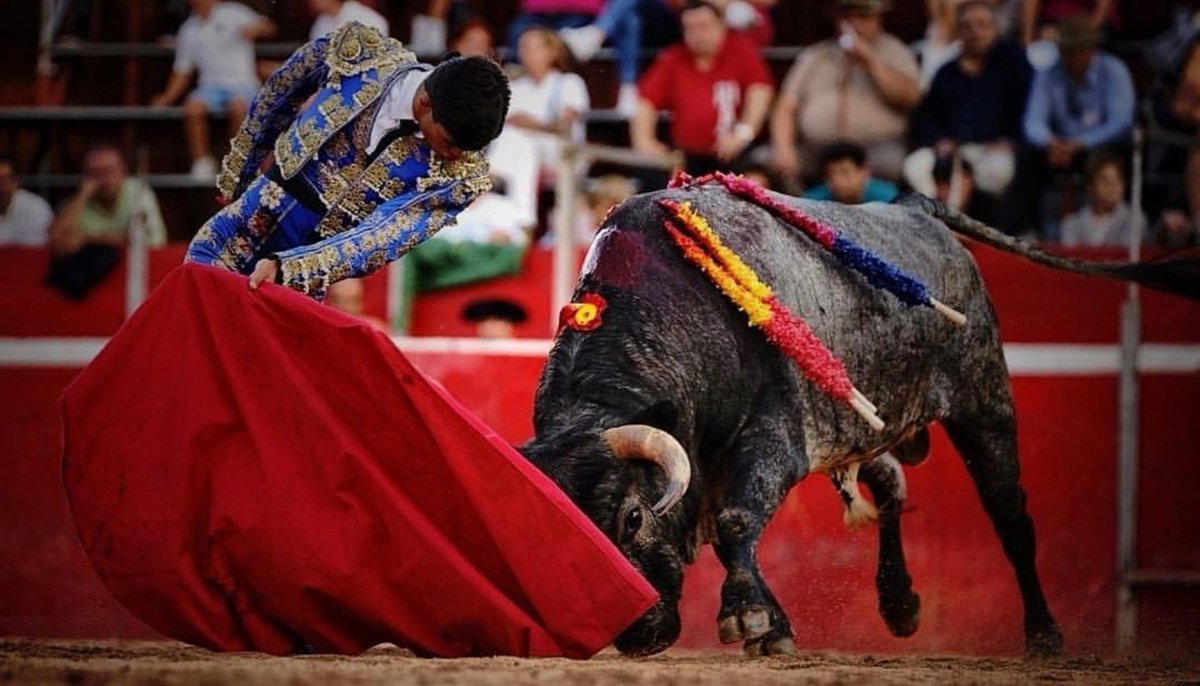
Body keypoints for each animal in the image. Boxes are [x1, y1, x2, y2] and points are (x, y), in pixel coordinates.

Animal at [513, 181, 1190, 657]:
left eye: (631, 517)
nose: (637, 633)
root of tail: (917, 209)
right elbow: (741, 530)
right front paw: (773, 625)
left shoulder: (775, 438)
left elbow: (736, 522)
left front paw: (749, 618)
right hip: (870, 426)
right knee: (892, 483)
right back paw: (900, 604)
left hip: (984, 399)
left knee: (1010, 515)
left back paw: (1044, 634)